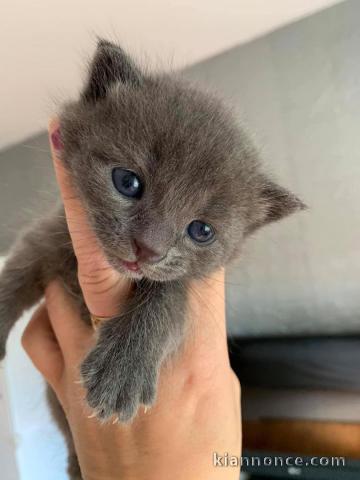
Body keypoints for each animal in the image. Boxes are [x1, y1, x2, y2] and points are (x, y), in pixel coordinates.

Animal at [0, 39, 304, 474]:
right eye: (127, 181)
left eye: (201, 231)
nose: (148, 249)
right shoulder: (50, 234)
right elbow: (17, 270)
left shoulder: (187, 291)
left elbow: (166, 299)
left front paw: (121, 370)